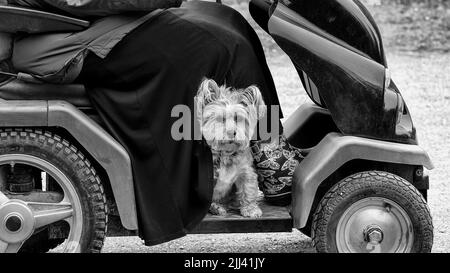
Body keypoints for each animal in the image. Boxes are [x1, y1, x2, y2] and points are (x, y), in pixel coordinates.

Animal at [194, 78, 266, 217]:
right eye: (221, 119)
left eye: (238, 118)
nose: (231, 132)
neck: (226, 153)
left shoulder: (246, 172)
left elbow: (248, 190)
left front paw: (250, 209)